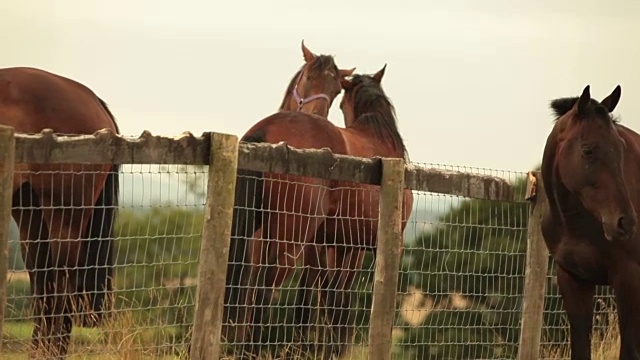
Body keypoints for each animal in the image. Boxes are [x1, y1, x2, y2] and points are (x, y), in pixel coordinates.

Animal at [225, 65, 416, 360]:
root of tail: (266, 130)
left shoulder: (329, 244)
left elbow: (326, 297)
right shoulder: (358, 248)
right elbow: (341, 300)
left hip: (255, 230)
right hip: (290, 238)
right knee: (264, 288)